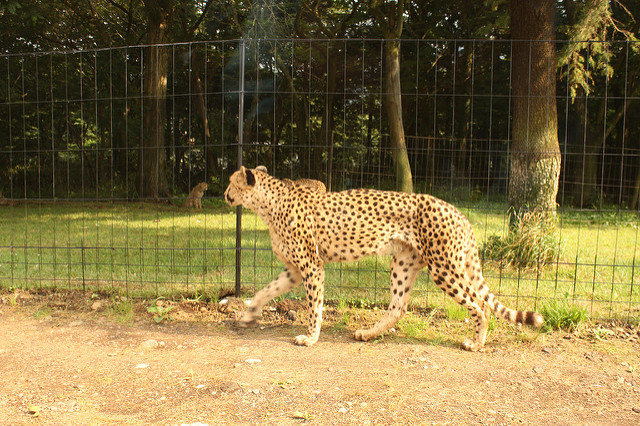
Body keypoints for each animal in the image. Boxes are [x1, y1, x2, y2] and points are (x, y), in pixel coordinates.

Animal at [222, 166, 544, 350]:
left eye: (231, 182)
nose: (224, 194)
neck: (267, 204)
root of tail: (457, 211)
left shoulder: (311, 266)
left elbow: (315, 306)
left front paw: (311, 337)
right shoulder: (294, 269)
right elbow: (264, 291)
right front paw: (248, 314)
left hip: (444, 268)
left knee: (480, 305)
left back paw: (476, 343)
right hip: (404, 263)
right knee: (398, 307)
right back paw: (368, 334)